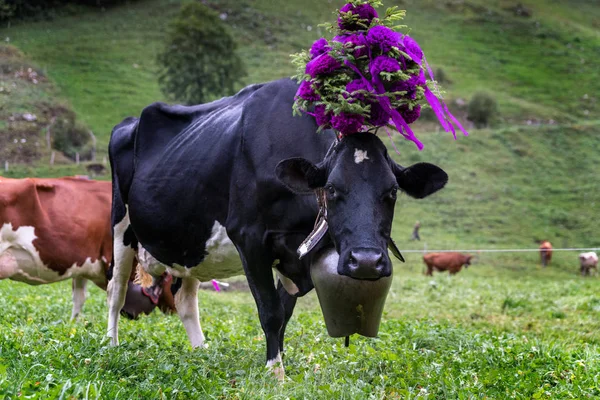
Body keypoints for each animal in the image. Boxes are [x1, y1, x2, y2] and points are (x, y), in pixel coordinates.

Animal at [106, 77, 446, 378]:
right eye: (332, 189)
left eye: (392, 192)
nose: (365, 261)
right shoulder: (249, 239)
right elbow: (270, 312)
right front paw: (274, 372)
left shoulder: (296, 255)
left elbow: (285, 313)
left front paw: (279, 360)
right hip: (120, 226)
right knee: (116, 290)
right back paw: (111, 346)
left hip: (190, 243)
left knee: (184, 298)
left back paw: (201, 351)